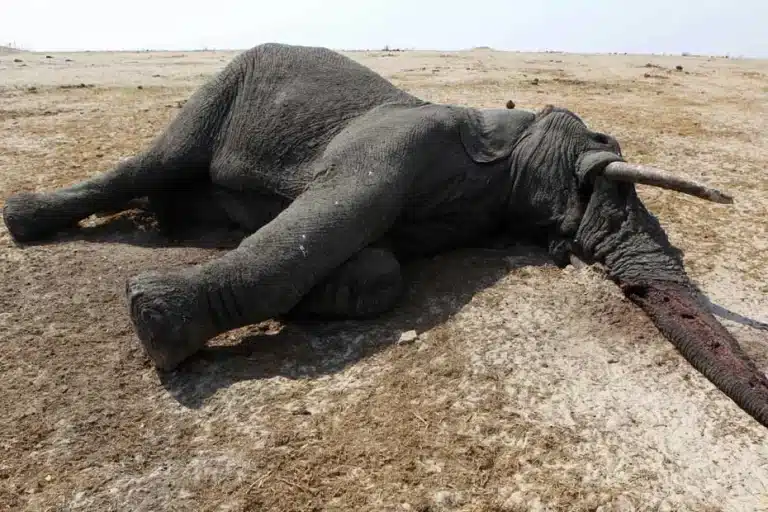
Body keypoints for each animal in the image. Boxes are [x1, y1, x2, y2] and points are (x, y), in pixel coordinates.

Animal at [3, 43, 766, 429]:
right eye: (601, 184)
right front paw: (155, 322)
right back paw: (27, 219)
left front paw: (321, 297)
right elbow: (320, 228)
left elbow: (381, 270)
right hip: (218, 91)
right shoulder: (400, 141)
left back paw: (173, 224)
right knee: (150, 163)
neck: (503, 130)